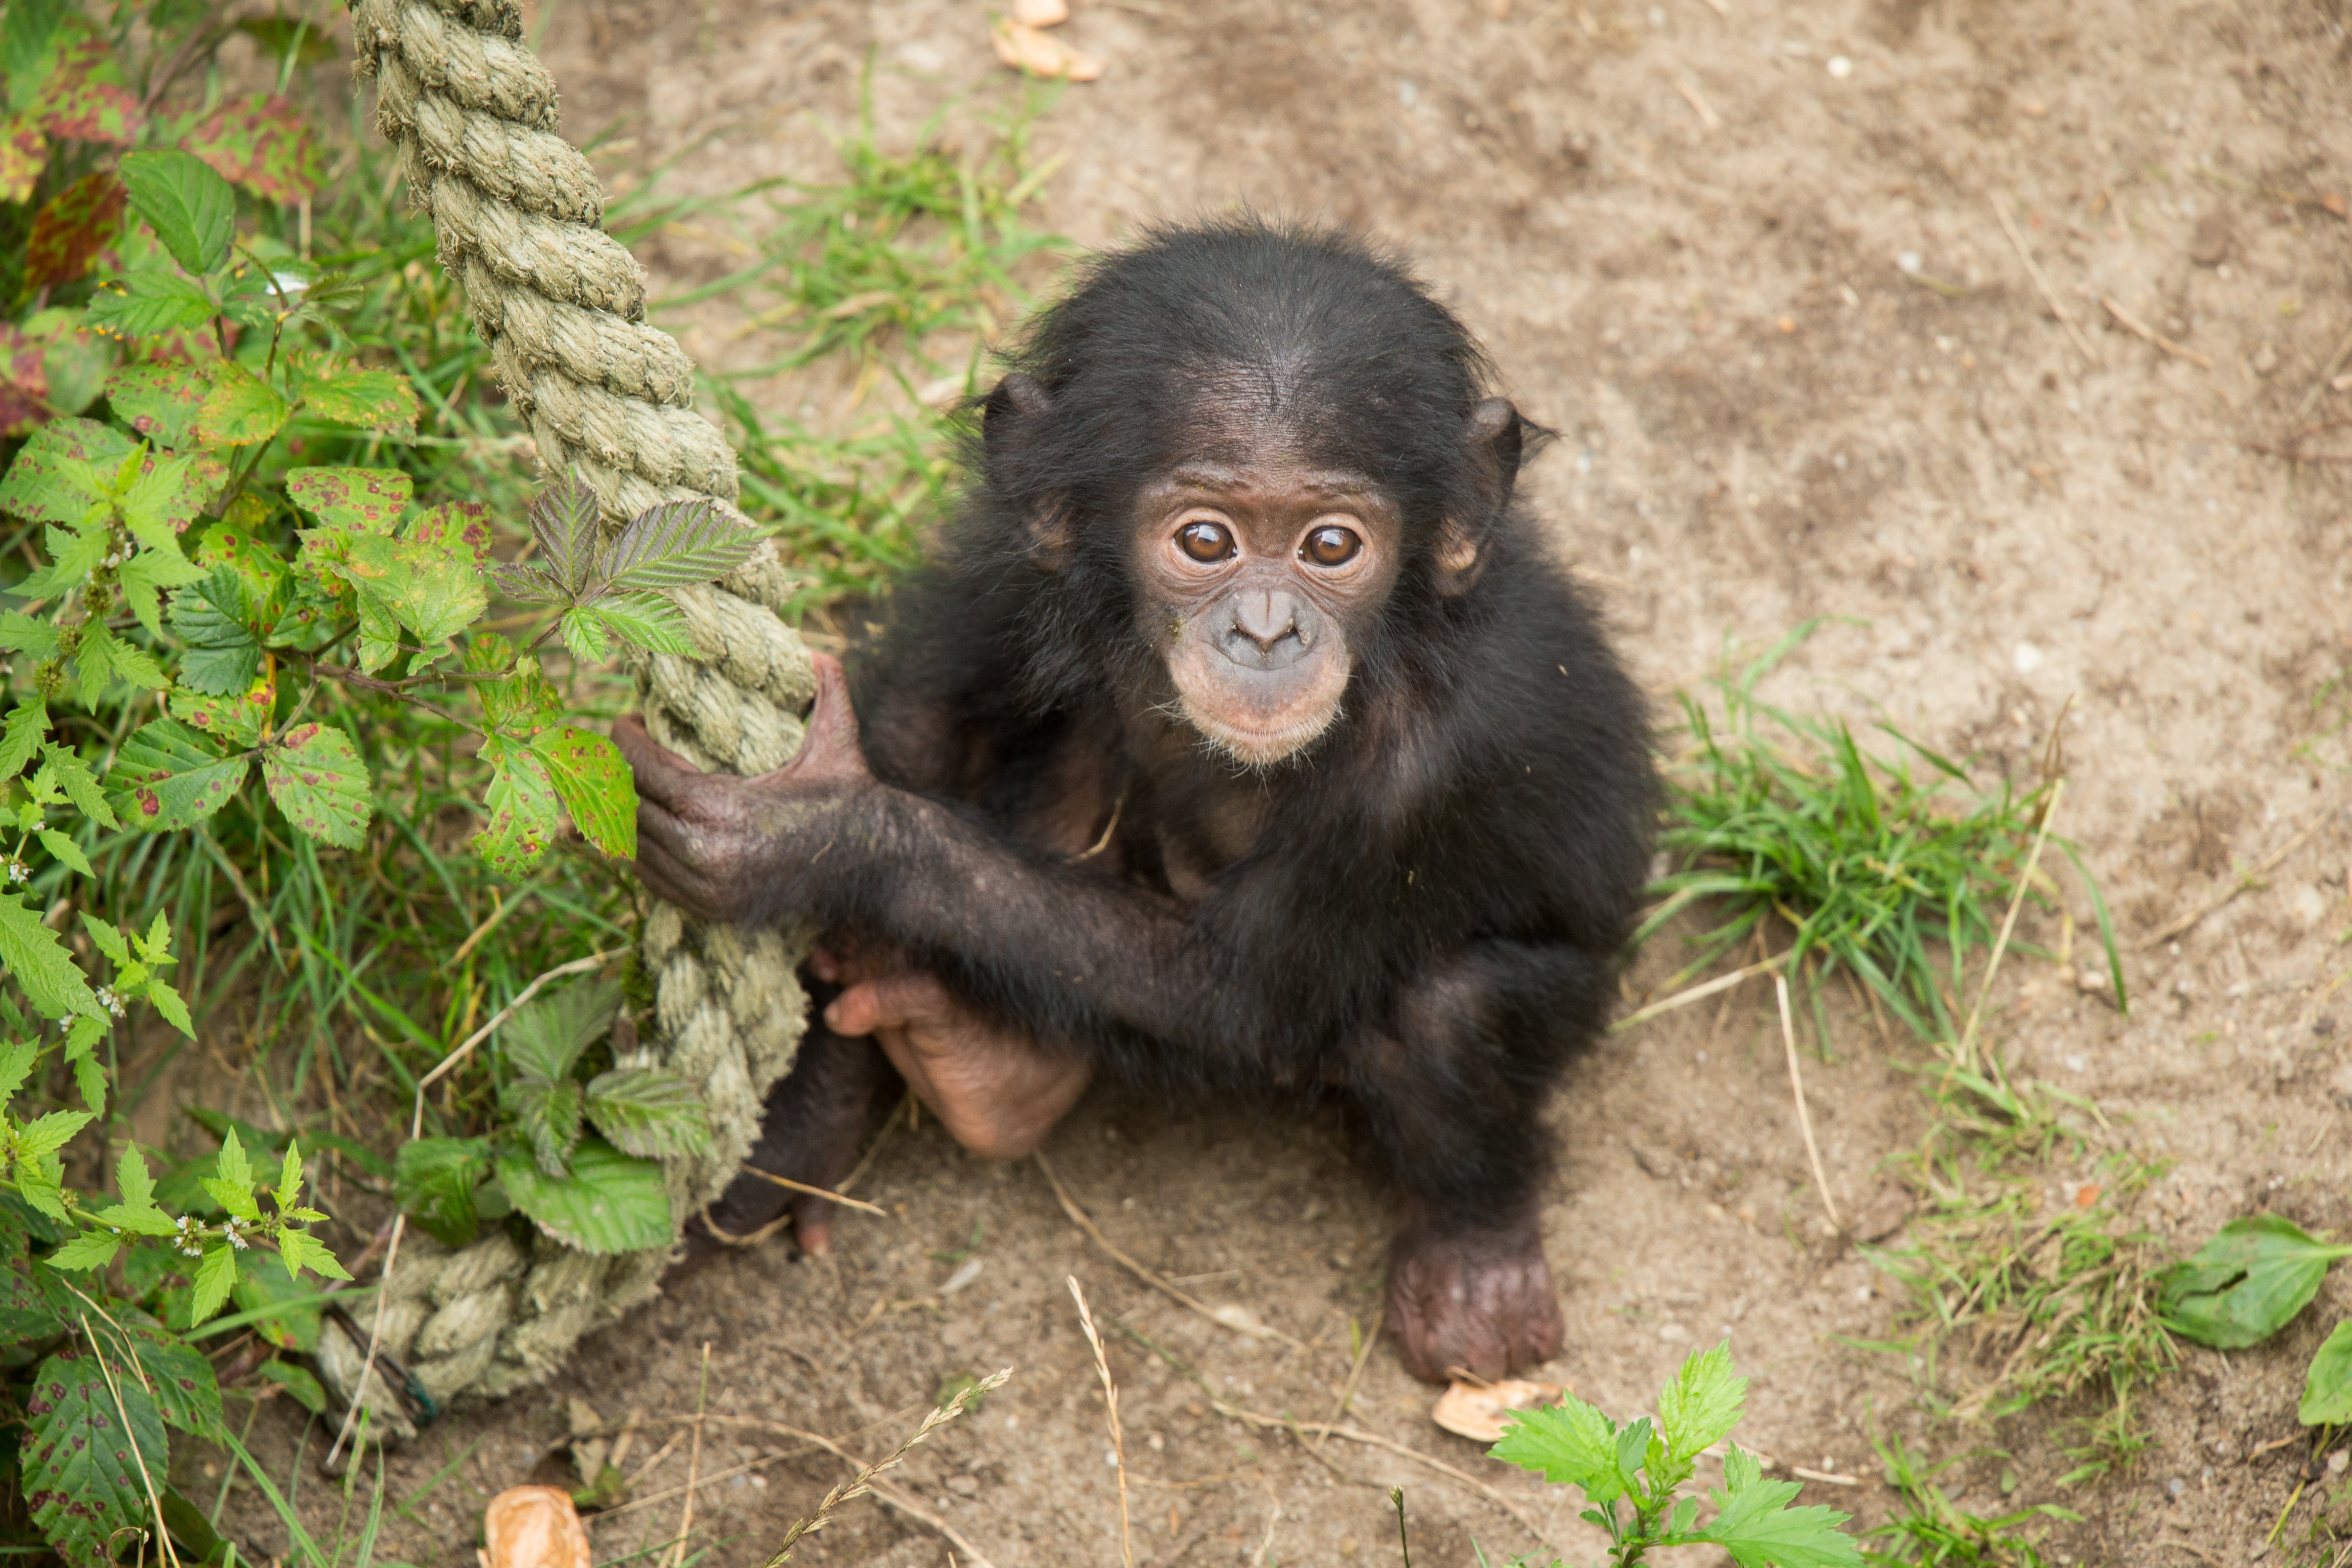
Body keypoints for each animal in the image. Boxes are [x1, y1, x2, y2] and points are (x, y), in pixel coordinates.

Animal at [618, 217, 1654, 1381]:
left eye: (1332, 546)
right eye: (1205, 540)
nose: (1266, 631)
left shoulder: (1437, 767)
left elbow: (1238, 993)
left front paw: (820, 838)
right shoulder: (1012, 565)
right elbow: (926, 716)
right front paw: (809, 1121)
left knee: (1449, 1008)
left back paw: (1476, 1266)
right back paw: (983, 1065)